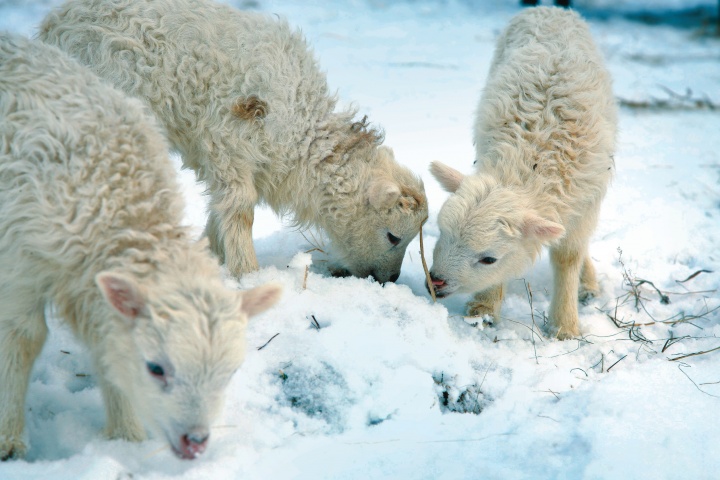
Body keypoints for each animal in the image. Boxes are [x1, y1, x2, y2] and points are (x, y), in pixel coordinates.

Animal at [0, 33, 282, 462]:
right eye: (156, 368)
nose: (196, 441)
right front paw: (10, 439)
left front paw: (125, 437)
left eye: (230, 372)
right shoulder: (20, 265)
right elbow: (22, 338)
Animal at [39, 0, 428, 284]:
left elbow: (220, 206)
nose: (388, 279)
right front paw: (248, 274)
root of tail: (55, 24)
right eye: (393, 236)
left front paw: (212, 254)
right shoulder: (229, 142)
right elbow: (240, 209)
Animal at [428, 6, 620, 338]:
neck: (533, 157)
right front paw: (483, 310)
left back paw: (588, 284)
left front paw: (564, 327)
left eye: (488, 259)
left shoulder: (585, 200)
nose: (436, 281)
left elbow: (568, 256)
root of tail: (550, 8)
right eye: (441, 232)